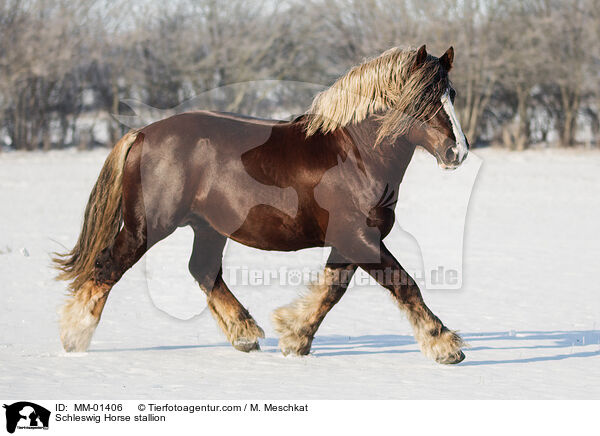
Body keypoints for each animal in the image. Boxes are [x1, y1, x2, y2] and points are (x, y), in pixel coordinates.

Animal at [54, 44, 472, 364]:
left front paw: (295, 338)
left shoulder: (351, 241)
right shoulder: (358, 238)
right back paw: (75, 337)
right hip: (147, 228)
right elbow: (403, 284)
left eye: (451, 95)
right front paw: (445, 345)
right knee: (108, 267)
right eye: (422, 99)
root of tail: (141, 134)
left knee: (203, 271)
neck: (356, 154)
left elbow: (331, 291)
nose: (458, 152)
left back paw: (245, 334)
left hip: (208, 228)